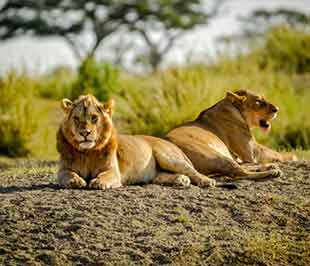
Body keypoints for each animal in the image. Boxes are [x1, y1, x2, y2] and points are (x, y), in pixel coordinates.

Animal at [57, 94, 216, 188]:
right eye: (76, 118)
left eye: (94, 118)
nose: (85, 133)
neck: (87, 152)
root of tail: (170, 143)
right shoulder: (63, 169)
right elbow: (68, 174)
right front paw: (75, 180)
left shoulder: (113, 172)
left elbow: (105, 175)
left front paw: (98, 182)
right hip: (160, 170)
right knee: (161, 176)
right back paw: (181, 180)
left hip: (168, 157)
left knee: (193, 171)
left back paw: (206, 181)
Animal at [166, 90, 294, 181]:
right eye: (258, 101)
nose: (277, 109)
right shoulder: (252, 151)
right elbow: (273, 152)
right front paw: (291, 157)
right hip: (215, 155)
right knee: (239, 173)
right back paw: (272, 172)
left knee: (242, 167)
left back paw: (269, 166)